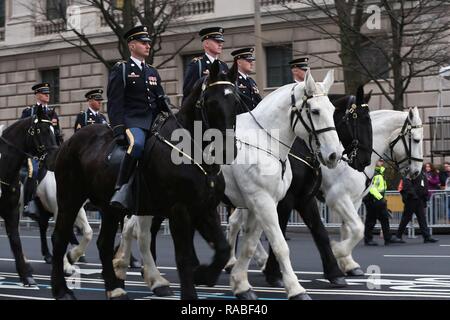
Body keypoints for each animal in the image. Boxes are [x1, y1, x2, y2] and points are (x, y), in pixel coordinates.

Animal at [0, 106, 58, 286]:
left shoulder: (11, 210)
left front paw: (26, 274)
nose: (54, 159)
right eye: (41, 130)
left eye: (53, 129)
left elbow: (15, 240)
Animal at [50, 60, 239, 300]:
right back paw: (61, 289)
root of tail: (68, 142)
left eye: (236, 101)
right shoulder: (179, 210)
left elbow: (223, 249)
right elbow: (184, 256)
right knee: (59, 238)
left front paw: (205, 275)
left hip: (110, 208)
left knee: (104, 244)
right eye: (211, 102)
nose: (228, 150)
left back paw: (115, 289)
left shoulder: (205, 208)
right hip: (70, 199)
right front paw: (190, 290)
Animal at [262, 86, 374, 286]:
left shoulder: (306, 198)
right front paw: (274, 274)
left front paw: (336, 270)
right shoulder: (286, 200)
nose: (364, 160)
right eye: (359, 119)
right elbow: (279, 230)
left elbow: (321, 232)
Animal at [322, 108, 424, 276]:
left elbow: (349, 229)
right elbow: (358, 229)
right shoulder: (339, 198)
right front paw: (336, 250)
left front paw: (348, 264)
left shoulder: (354, 200)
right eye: (416, 140)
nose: (416, 172)